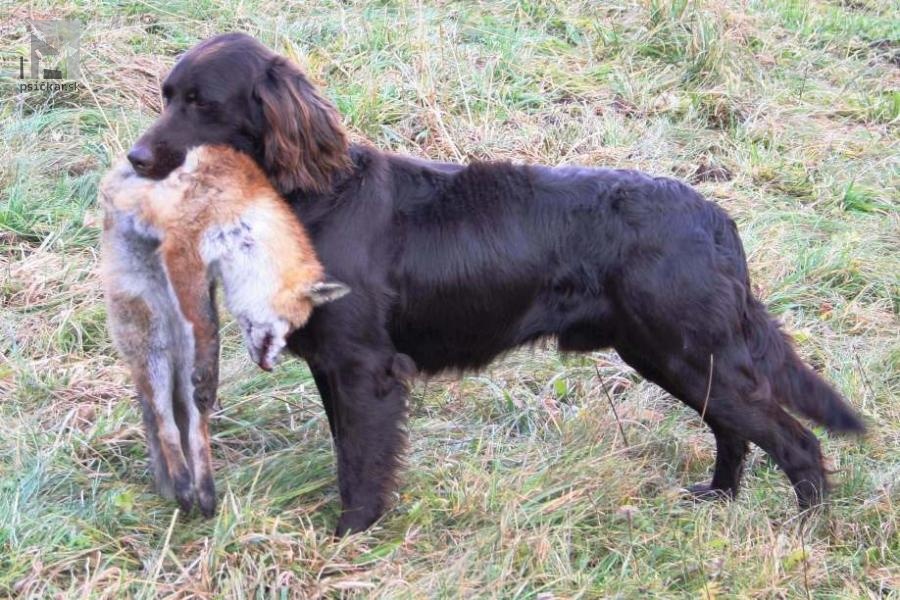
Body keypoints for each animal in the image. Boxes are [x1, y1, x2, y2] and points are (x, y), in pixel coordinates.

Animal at [100, 144, 348, 516]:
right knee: (166, 424)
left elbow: (210, 332)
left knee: (194, 429)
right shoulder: (184, 247)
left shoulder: (205, 273)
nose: (272, 365)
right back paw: (183, 486)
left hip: (178, 360)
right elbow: (206, 326)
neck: (244, 215)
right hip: (153, 348)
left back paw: (203, 492)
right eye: (290, 325)